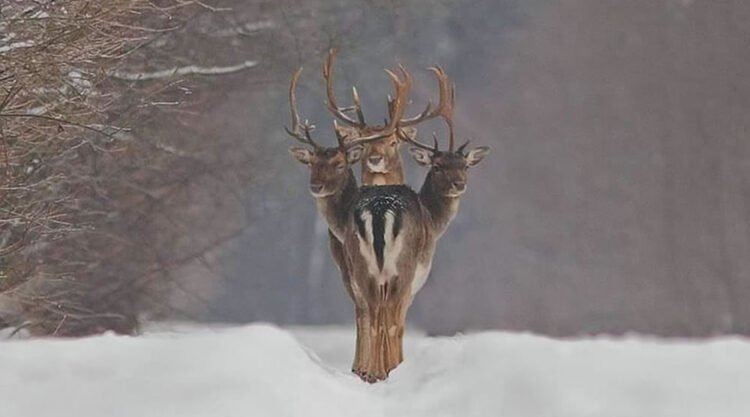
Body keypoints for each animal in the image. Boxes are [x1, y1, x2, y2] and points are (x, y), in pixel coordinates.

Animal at [342, 72, 494, 380]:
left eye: (465, 166)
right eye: (437, 166)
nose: (459, 184)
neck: (433, 219)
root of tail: (380, 210)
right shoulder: (416, 279)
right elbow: (398, 324)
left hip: (362, 268)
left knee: (370, 316)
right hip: (402, 268)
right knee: (388, 320)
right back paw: (386, 371)